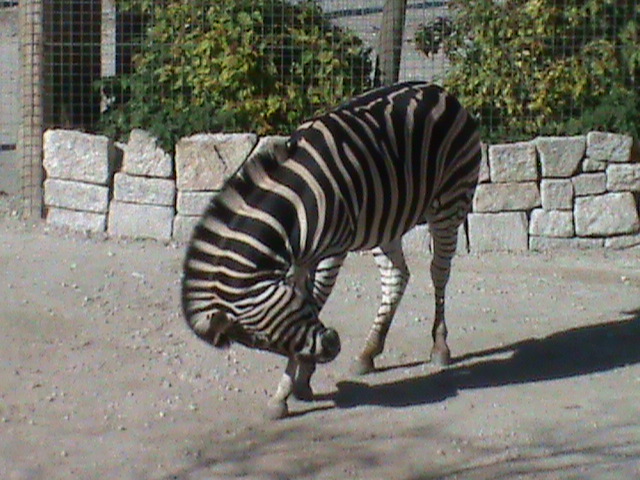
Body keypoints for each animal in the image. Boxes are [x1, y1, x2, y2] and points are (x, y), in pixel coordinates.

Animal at [182, 81, 481, 419]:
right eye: (261, 340)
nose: (333, 345)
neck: (295, 205)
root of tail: (438, 90)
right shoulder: (300, 262)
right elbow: (309, 304)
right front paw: (301, 380)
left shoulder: (329, 253)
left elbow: (316, 302)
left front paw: (288, 390)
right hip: (385, 219)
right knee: (396, 276)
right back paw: (368, 352)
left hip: (450, 203)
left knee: (439, 273)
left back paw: (440, 347)